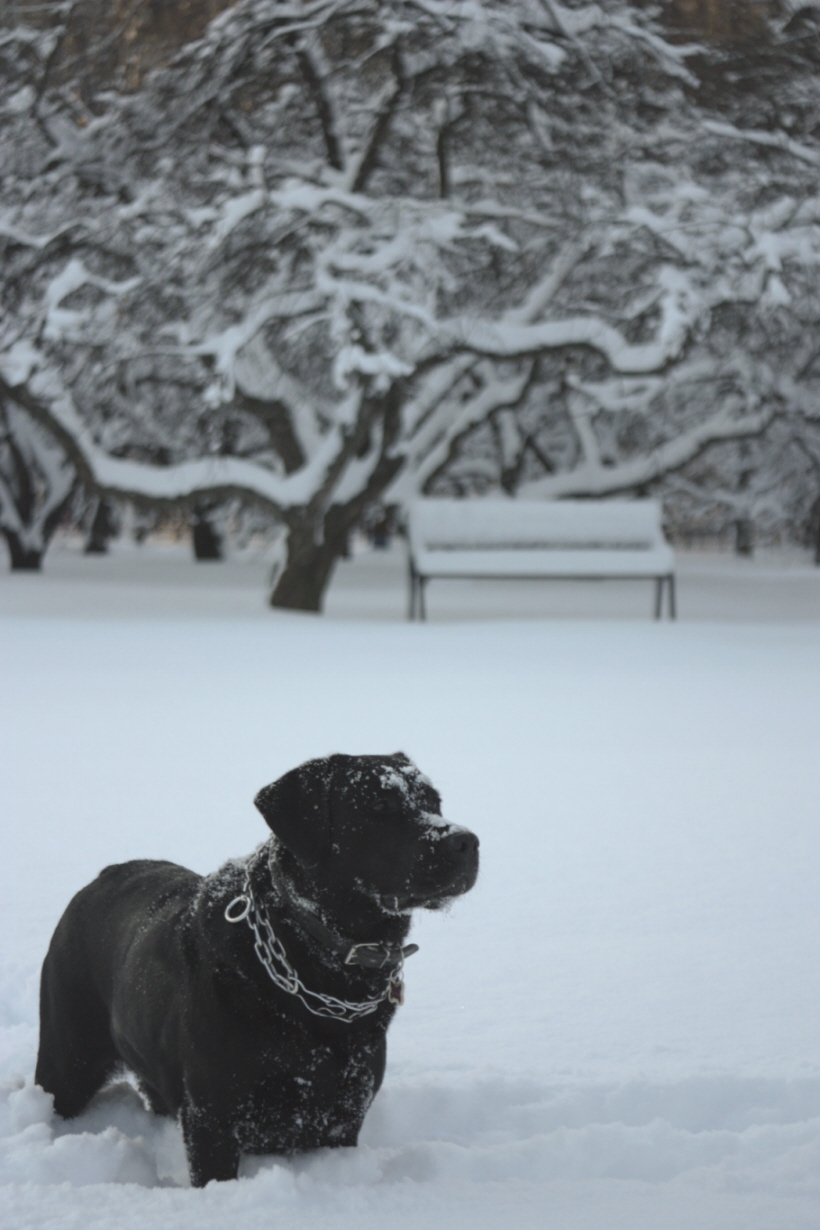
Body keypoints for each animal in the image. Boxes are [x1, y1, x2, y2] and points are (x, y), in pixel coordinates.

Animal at [35, 752, 477, 1185]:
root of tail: (102, 876)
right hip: (66, 1057)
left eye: (434, 802)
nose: (466, 841)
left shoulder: (343, 1114)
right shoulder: (212, 1117)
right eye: (379, 806)